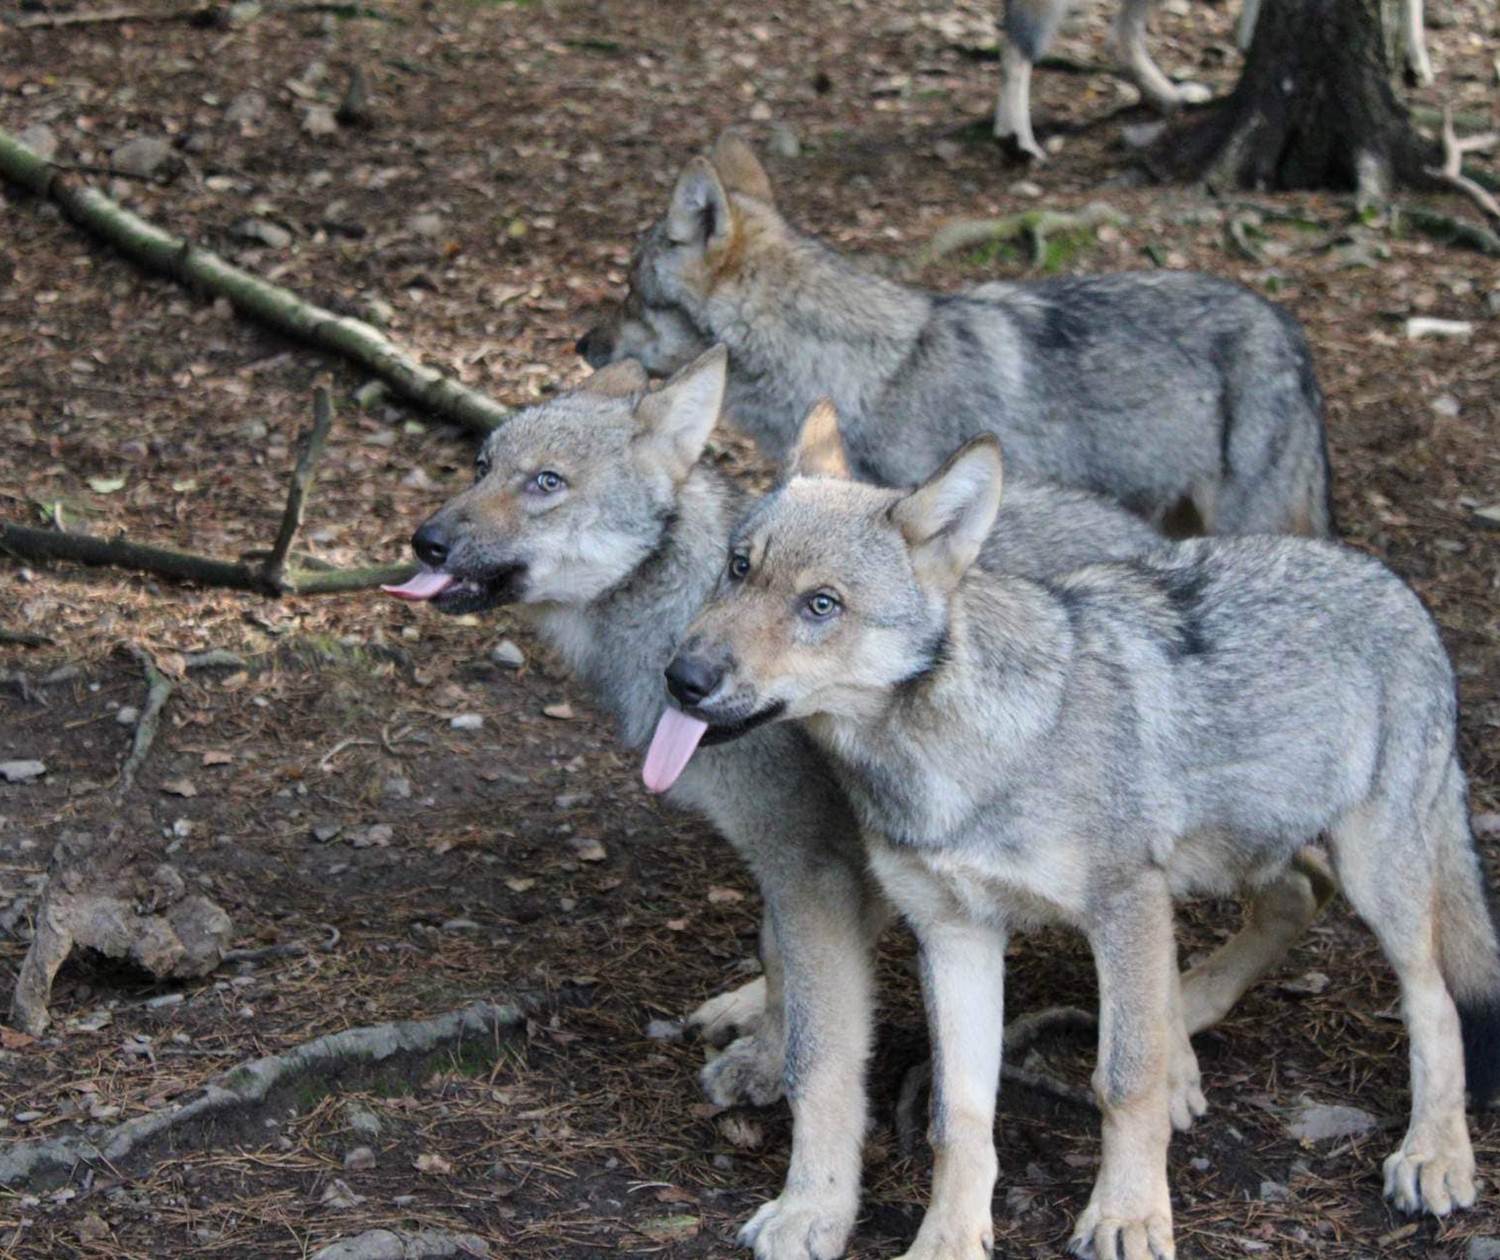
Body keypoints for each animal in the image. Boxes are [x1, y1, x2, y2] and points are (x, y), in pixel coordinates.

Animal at [383, 353, 1332, 1260]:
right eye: (480, 465)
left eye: (546, 482)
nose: (424, 541)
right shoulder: (798, 866)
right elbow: (787, 971)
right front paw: (762, 1047)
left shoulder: (814, 862)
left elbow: (826, 1059)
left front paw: (813, 1208)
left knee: (1284, 896)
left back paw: (1179, 1065)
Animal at [662, 406, 1500, 1260]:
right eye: (738, 568)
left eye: (821, 604)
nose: (681, 677)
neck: (959, 756)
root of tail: (1394, 583)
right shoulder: (956, 935)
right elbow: (958, 1119)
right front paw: (949, 1239)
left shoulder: (1124, 902)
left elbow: (1122, 1082)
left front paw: (1128, 1215)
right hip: (1238, 852)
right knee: (1298, 892)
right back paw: (1190, 1012)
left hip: (1373, 873)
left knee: (1433, 999)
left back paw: (1435, 1156)